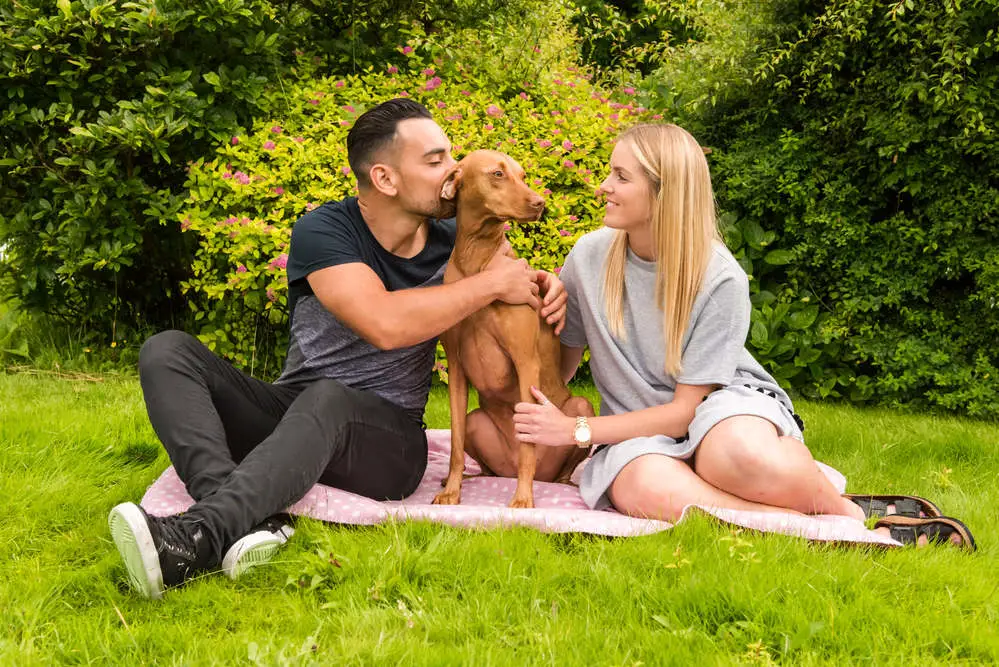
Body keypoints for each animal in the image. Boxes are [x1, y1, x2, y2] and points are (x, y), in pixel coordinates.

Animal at [432, 150, 592, 506]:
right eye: (497, 173)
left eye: (523, 175)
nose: (540, 202)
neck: (477, 262)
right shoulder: (456, 370)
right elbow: (455, 444)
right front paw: (452, 490)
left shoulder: (525, 362)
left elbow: (527, 445)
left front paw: (522, 500)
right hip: (477, 421)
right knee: (484, 459)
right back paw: (477, 477)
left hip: (581, 407)